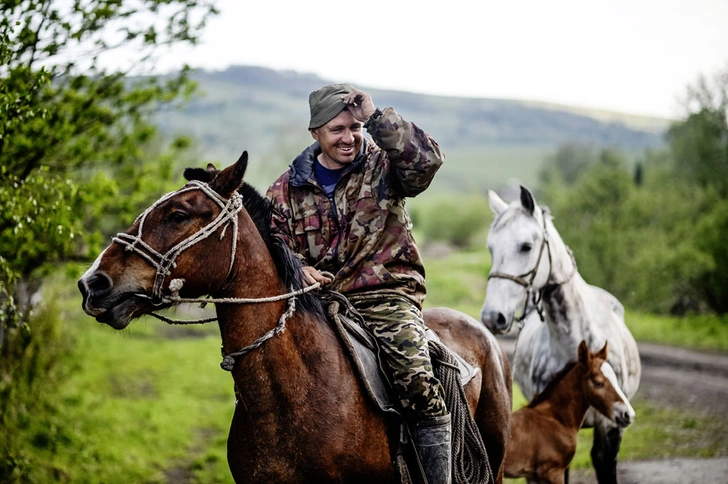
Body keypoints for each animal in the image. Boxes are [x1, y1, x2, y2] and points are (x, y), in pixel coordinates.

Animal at [504, 340, 636, 484]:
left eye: (616, 380)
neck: (555, 419)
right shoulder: (553, 472)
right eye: (598, 383)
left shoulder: (532, 476)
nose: (628, 414)